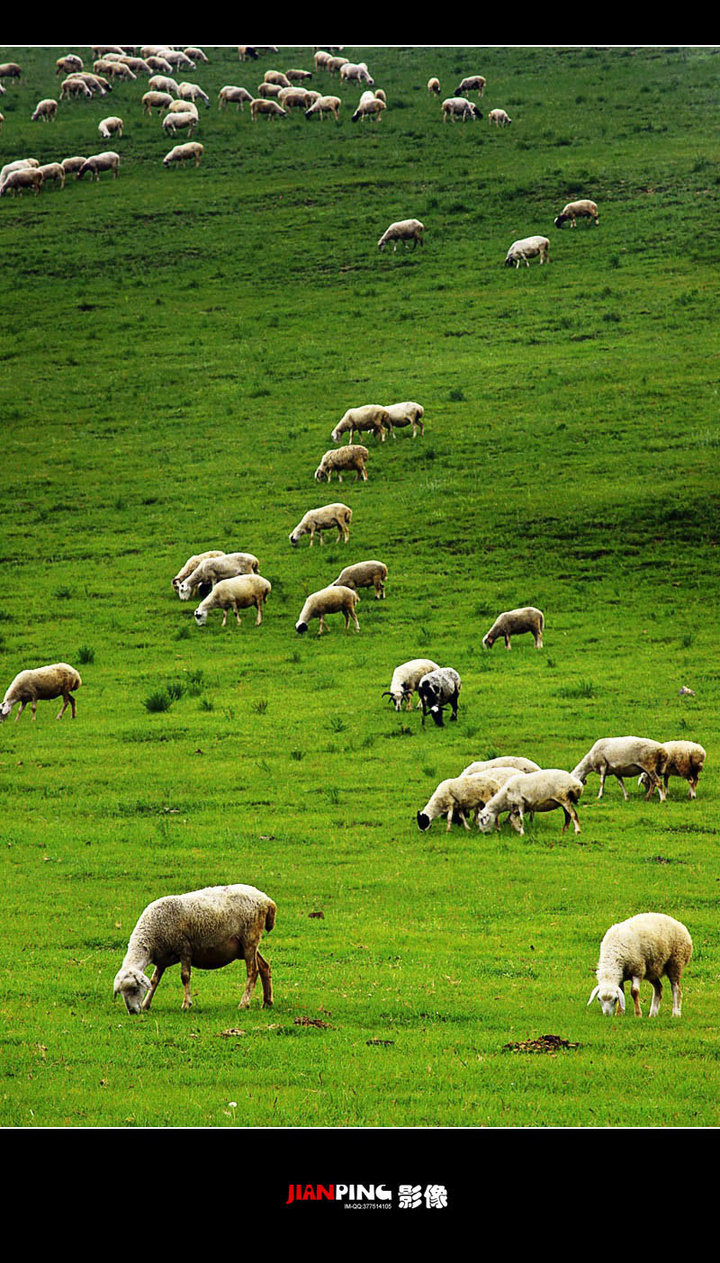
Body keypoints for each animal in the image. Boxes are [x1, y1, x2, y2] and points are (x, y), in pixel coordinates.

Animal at [112, 889, 274, 1015]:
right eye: (121, 993)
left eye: (134, 989)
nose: (132, 1012)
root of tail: (266, 900)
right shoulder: (162, 958)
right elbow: (154, 981)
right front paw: (146, 1004)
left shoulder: (184, 949)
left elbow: (184, 977)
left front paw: (186, 1004)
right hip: (248, 946)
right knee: (264, 967)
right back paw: (267, 1002)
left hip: (249, 940)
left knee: (253, 971)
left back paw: (244, 1003)